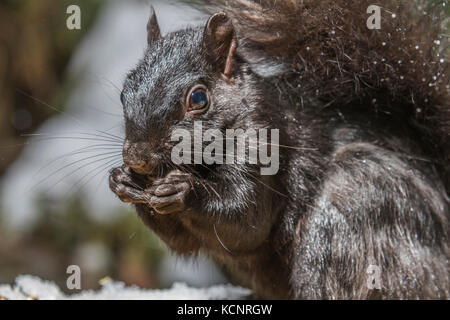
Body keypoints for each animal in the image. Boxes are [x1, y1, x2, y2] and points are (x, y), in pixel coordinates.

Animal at [110, 0, 450, 300]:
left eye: (198, 99)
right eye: (125, 91)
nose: (136, 158)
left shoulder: (268, 146)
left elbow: (247, 218)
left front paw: (185, 190)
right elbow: (183, 241)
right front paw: (122, 180)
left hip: (361, 199)